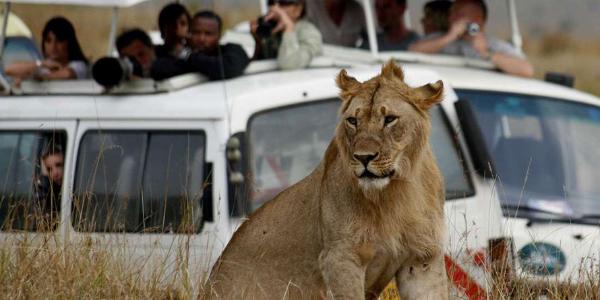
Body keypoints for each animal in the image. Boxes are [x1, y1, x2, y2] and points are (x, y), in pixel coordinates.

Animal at [204, 61, 448, 300]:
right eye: (353, 121)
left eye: (389, 119)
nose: (363, 157)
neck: (395, 193)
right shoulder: (340, 258)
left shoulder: (421, 259)